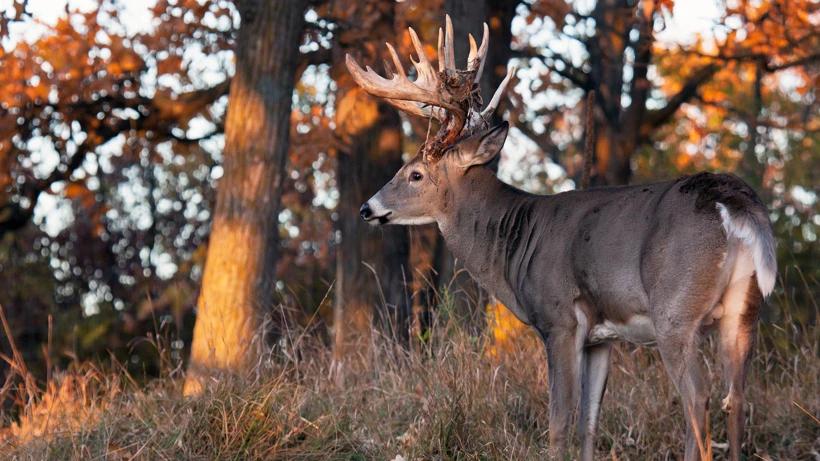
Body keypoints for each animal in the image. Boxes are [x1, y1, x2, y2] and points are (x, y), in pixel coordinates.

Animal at [344, 14, 776, 460]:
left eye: (415, 174)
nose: (367, 208)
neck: (516, 239)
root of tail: (735, 204)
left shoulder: (559, 320)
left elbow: (559, 423)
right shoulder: (601, 338)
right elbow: (589, 422)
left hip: (676, 311)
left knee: (698, 399)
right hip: (744, 310)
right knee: (736, 399)